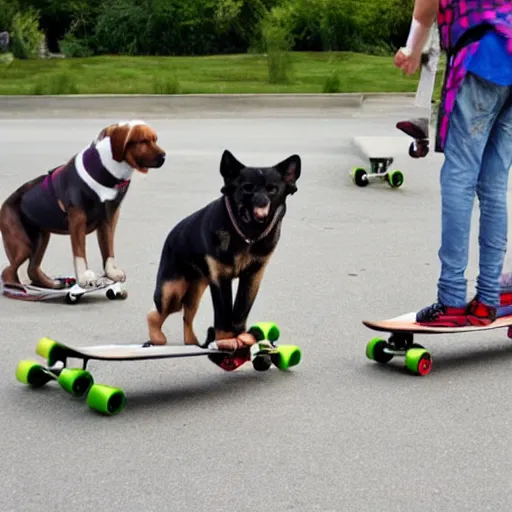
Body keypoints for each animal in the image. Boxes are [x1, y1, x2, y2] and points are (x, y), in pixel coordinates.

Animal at [0, 120, 164, 296]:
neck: (109, 171)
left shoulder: (109, 217)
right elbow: (79, 252)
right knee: (9, 271)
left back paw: (52, 284)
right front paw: (84, 278)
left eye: (155, 140)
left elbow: (108, 249)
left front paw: (111, 273)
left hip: (40, 239)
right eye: (143, 141)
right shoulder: (77, 218)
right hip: (22, 244)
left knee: (32, 269)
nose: (164, 157)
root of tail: (5, 203)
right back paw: (18, 289)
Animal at [147, 149, 300, 352]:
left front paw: (240, 340)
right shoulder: (220, 280)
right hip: (171, 292)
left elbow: (239, 312)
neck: (246, 236)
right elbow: (223, 316)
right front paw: (226, 342)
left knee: (187, 315)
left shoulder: (252, 276)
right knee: (154, 314)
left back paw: (192, 343)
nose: (261, 203)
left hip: (195, 292)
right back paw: (157, 339)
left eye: (272, 189)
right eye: (247, 188)